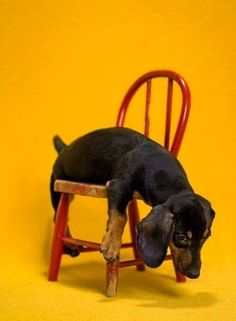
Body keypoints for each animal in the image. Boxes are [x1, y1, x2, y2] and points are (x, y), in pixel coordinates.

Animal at [50, 126, 215, 278]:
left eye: (206, 237)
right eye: (181, 237)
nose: (194, 274)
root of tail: (64, 149)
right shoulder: (118, 186)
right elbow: (120, 217)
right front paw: (112, 244)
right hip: (59, 191)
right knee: (59, 218)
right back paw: (70, 246)